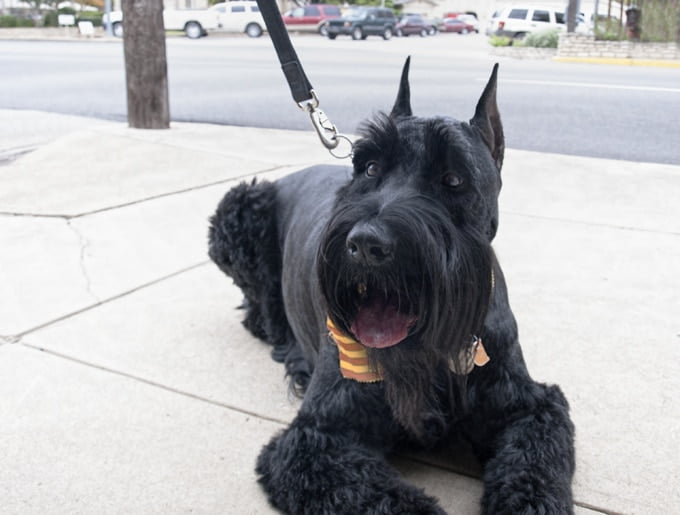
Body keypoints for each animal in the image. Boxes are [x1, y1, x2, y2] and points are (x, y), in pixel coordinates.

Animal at [209, 59, 572, 512]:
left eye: (453, 180)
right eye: (369, 168)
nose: (365, 245)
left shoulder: (529, 409)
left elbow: (533, 464)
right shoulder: (318, 439)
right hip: (239, 205)